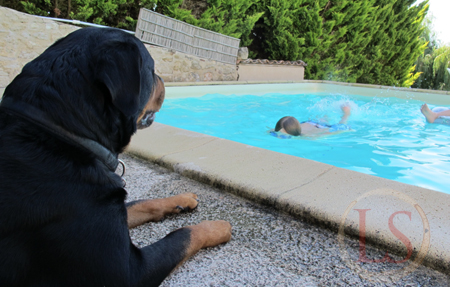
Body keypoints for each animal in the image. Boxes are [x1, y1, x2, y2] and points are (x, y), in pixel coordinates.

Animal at [0, 27, 232, 287]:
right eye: (151, 70)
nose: (162, 79)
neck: (65, 132)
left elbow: (141, 203)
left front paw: (180, 199)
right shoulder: (127, 272)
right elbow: (182, 235)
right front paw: (216, 227)